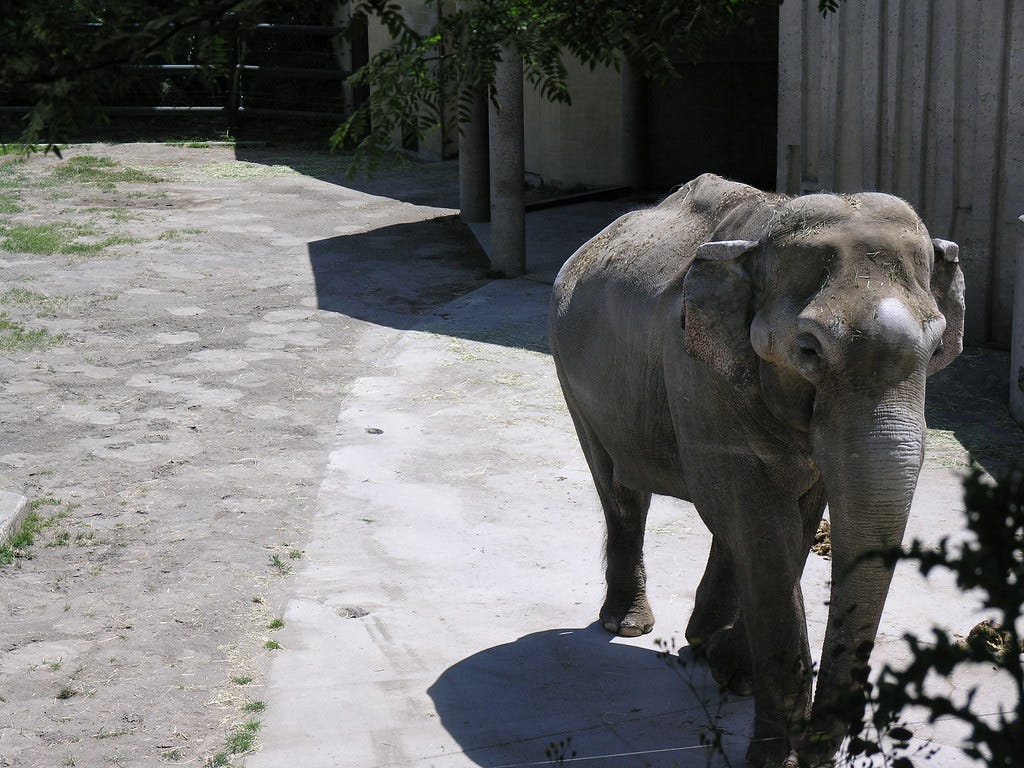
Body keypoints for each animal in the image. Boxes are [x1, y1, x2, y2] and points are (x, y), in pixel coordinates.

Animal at [548, 174, 962, 768]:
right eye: (808, 348)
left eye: (934, 350)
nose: (815, 752)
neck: (763, 236)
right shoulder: (696, 375)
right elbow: (761, 530)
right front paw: (770, 756)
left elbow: (794, 522)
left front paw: (737, 676)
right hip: (571, 374)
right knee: (621, 490)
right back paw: (626, 626)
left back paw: (705, 645)